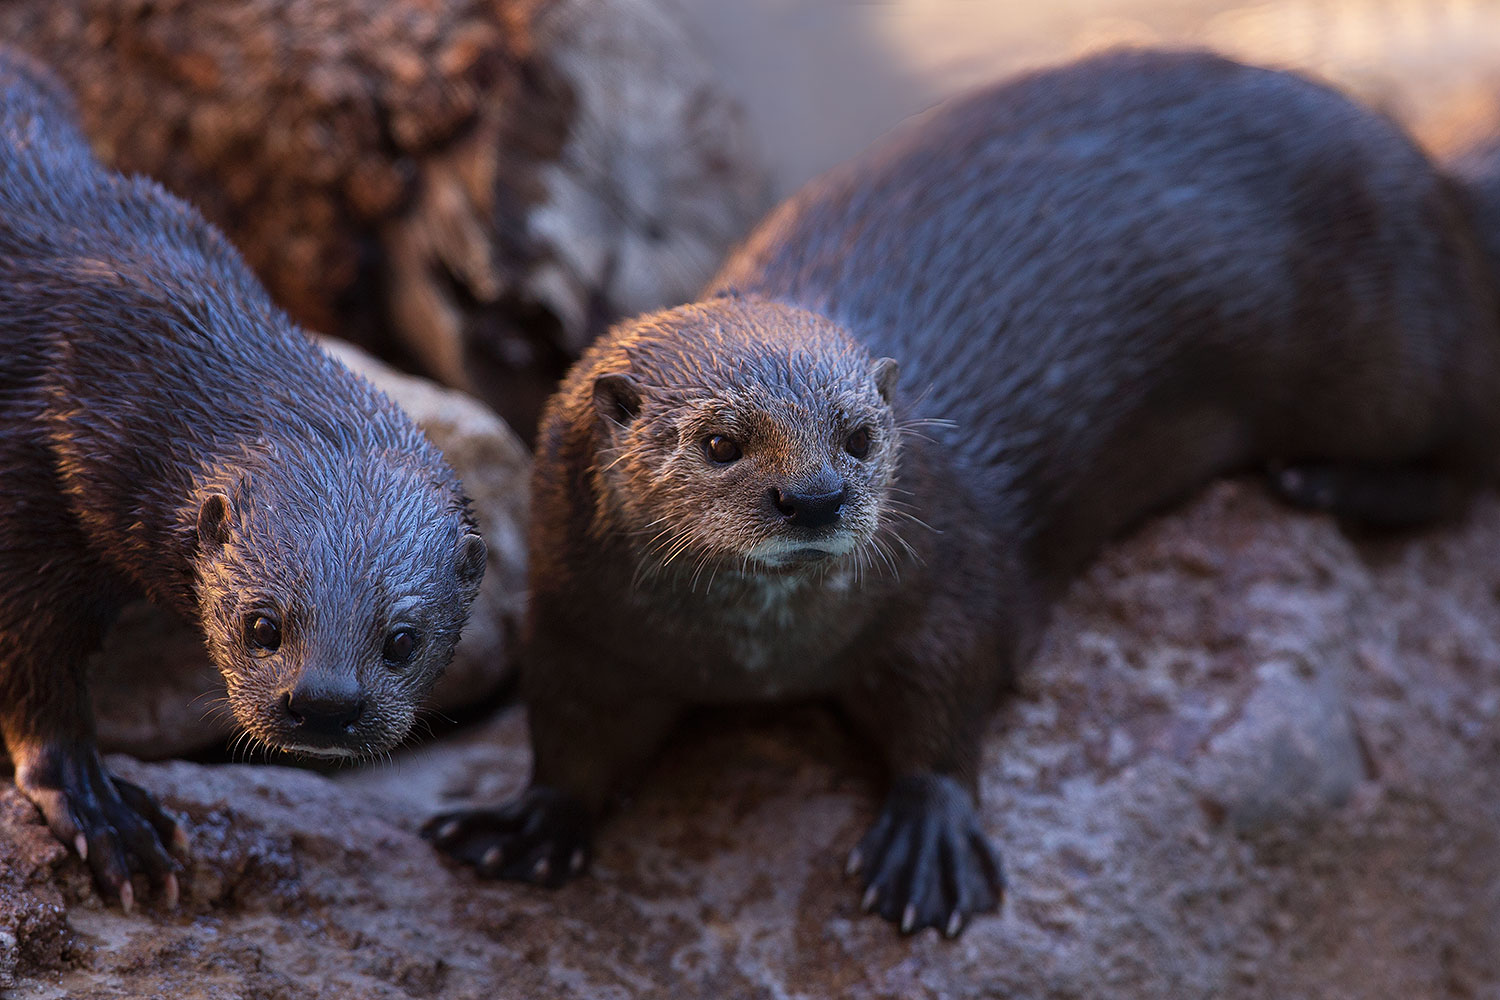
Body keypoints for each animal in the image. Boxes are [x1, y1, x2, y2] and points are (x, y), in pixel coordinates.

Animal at [0, 50, 486, 910]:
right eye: (263, 624)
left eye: (403, 639)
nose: (324, 705)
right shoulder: (27, 481)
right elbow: (31, 663)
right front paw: (97, 808)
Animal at [426, 49, 1500, 935]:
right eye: (722, 443)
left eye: (860, 437)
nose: (814, 497)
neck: (754, 658)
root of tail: (1439, 185)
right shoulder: (575, 617)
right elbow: (571, 730)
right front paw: (524, 824)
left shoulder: (950, 577)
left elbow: (949, 694)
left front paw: (928, 840)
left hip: (1390, 357)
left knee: (1462, 459)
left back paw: (1324, 482)